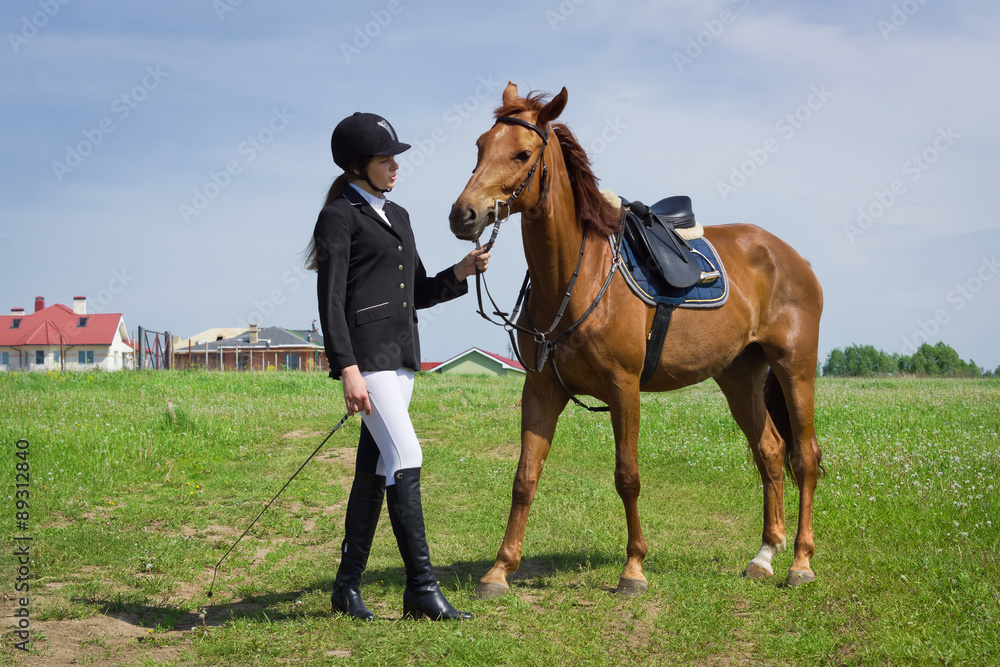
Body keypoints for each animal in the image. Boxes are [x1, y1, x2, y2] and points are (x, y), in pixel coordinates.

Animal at [449, 82, 823, 599]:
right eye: (480, 147)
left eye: (522, 153)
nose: (462, 214)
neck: (577, 276)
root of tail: (790, 255)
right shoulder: (541, 389)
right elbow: (524, 477)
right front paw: (499, 571)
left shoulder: (623, 388)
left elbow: (627, 476)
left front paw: (633, 569)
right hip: (739, 375)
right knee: (769, 451)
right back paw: (764, 556)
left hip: (794, 369)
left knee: (804, 457)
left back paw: (800, 563)